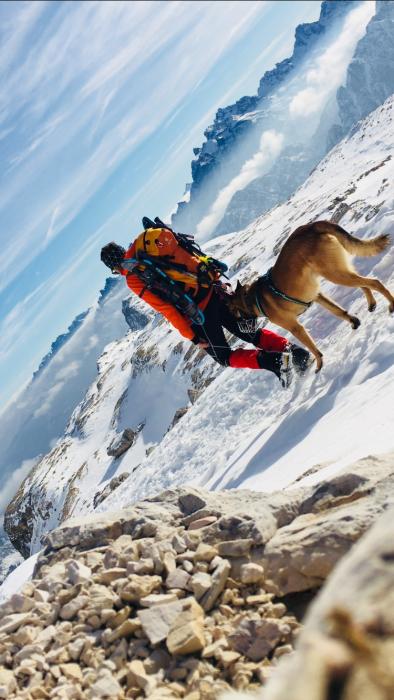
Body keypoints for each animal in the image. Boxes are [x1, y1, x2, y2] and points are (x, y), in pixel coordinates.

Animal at [226, 221, 392, 372]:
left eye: (234, 313)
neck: (251, 298)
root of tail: (311, 226)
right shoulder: (317, 296)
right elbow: (338, 311)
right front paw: (354, 321)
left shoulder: (295, 327)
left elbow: (312, 347)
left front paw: (319, 362)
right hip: (339, 271)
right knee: (364, 284)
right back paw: (371, 303)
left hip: (334, 273)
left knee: (374, 282)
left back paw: (391, 304)